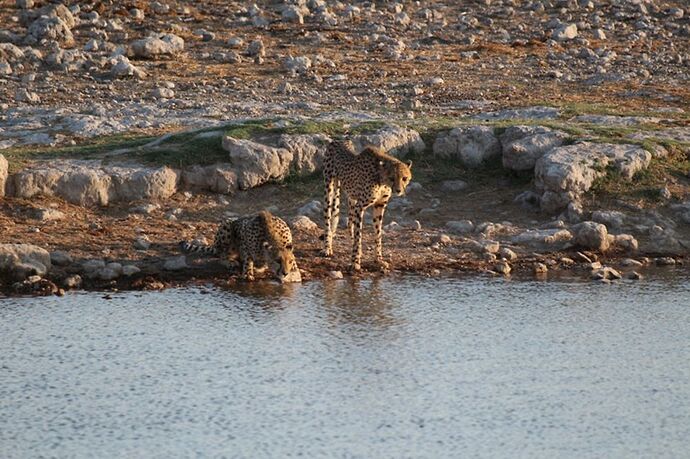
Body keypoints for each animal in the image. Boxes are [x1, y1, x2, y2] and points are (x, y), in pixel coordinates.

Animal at [322, 138, 412, 272]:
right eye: (392, 178)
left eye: (404, 178)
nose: (398, 190)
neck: (381, 178)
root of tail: (337, 139)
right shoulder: (360, 207)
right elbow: (359, 235)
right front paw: (355, 262)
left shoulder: (379, 205)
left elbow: (378, 233)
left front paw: (378, 259)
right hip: (329, 189)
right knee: (328, 220)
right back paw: (327, 248)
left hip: (352, 198)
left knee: (349, 222)